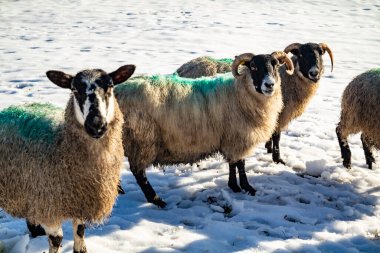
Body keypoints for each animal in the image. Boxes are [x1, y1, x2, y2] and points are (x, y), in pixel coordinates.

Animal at [0, 65, 136, 253]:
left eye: (110, 86)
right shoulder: (48, 206)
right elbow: (57, 239)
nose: (96, 125)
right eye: (74, 90)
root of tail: (8, 110)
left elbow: (80, 234)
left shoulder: (79, 203)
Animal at [115, 51, 294, 208]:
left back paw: (120, 190)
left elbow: (233, 163)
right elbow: (241, 164)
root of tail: (116, 92)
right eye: (254, 67)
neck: (240, 93)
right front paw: (246, 187)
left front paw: (234, 186)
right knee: (139, 174)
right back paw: (156, 200)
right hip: (142, 141)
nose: (269, 85)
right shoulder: (238, 137)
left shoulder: (230, 138)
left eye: (275, 65)